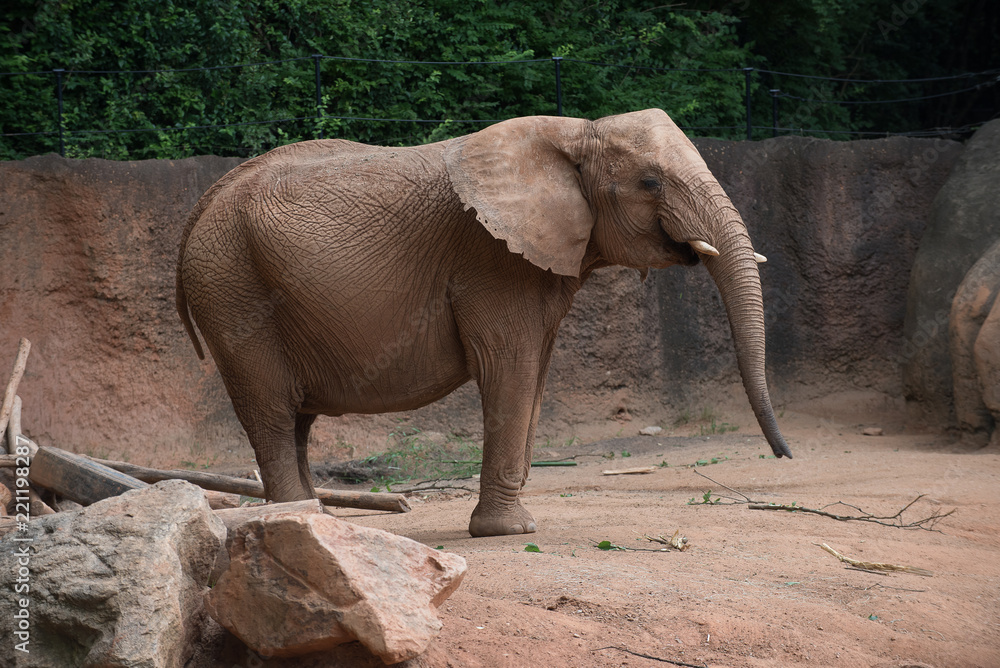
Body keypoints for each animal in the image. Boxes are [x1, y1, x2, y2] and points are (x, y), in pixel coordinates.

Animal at [176, 108, 791, 537]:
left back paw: (323, 523)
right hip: (231, 288)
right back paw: (298, 517)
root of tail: (201, 206)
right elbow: (508, 368)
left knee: (297, 419)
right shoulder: (490, 260)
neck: (575, 132)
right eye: (650, 183)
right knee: (274, 413)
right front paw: (508, 532)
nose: (785, 455)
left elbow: (534, 373)